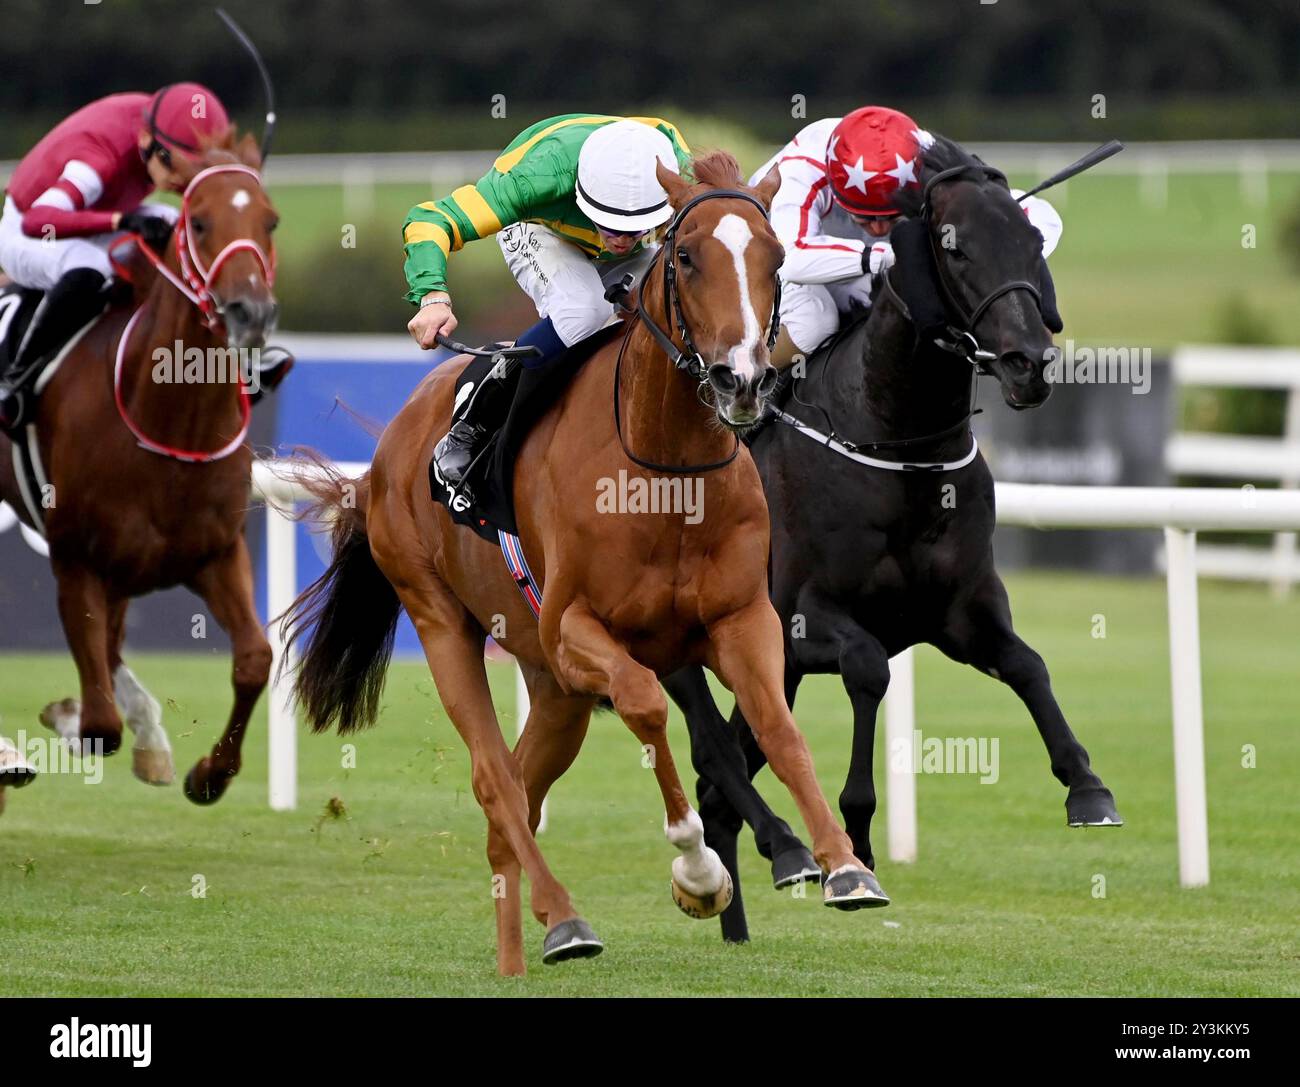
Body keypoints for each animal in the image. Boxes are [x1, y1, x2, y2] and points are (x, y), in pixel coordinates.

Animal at [0, 129, 282, 806]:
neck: (169, 423)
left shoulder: (216, 552)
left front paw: (208, 773)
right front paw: (77, 721)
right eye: (198, 221)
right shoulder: (76, 560)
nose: (251, 314)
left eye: (270, 220)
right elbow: (100, 724)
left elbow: (254, 660)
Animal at [284, 152, 889, 977]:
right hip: (441, 618)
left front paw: (842, 864)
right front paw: (698, 871)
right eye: (687, 256)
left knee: (519, 792)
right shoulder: (578, 628)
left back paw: (523, 946)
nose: (741, 379)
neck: (665, 472)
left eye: (775, 259)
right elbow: (647, 704)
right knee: (495, 780)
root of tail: (386, 452)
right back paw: (567, 917)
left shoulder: (740, 619)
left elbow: (777, 727)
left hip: (555, 687)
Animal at [665, 137, 1123, 941]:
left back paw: (739, 921)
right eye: (954, 246)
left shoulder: (959, 612)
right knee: (712, 756)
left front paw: (1087, 786)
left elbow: (1028, 665)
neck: (900, 445)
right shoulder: (802, 620)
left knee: (725, 779)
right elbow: (868, 668)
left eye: (1032, 241)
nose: (1029, 363)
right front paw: (859, 841)